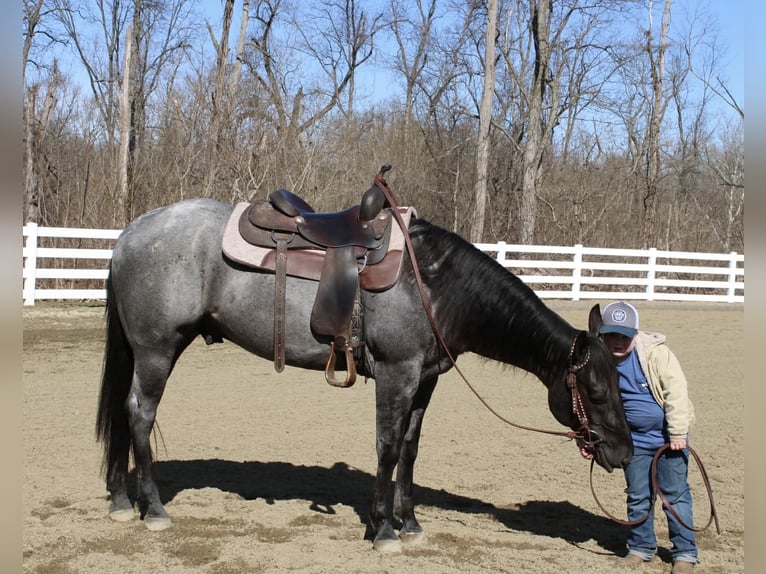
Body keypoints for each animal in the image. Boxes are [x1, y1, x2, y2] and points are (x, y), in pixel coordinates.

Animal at [96, 195, 633, 553]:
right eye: (595, 389)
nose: (625, 452)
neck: (436, 285)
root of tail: (129, 233)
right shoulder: (397, 373)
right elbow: (387, 447)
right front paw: (383, 530)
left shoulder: (426, 380)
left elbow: (410, 451)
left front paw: (410, 523)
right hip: (157, 349)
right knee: (139, 414)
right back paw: (154, 510)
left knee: (123, 415)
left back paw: (121, 501)